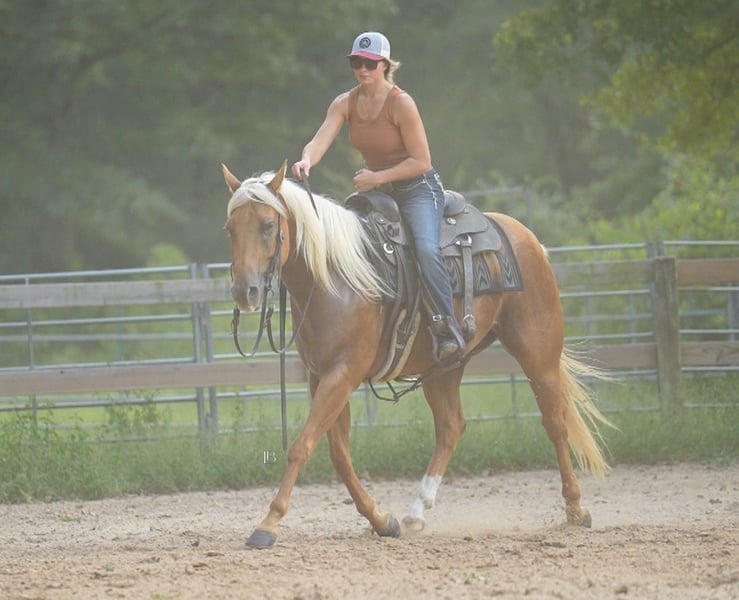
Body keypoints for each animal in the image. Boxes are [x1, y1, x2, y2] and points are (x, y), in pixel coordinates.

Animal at [222, 161, 612, 549]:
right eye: (230, 228)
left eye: (268, 225)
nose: (245, 291)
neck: (335, 279)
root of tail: (526, 237)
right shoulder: (322, 377)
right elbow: (340, 455)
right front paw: (382, 521)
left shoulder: (343, 374)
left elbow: (302, 446)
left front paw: (268, 524)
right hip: (446, 365)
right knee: (452, 426)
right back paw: (415, 512)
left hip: (538, 353)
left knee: (556, 422)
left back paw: (576, 509)